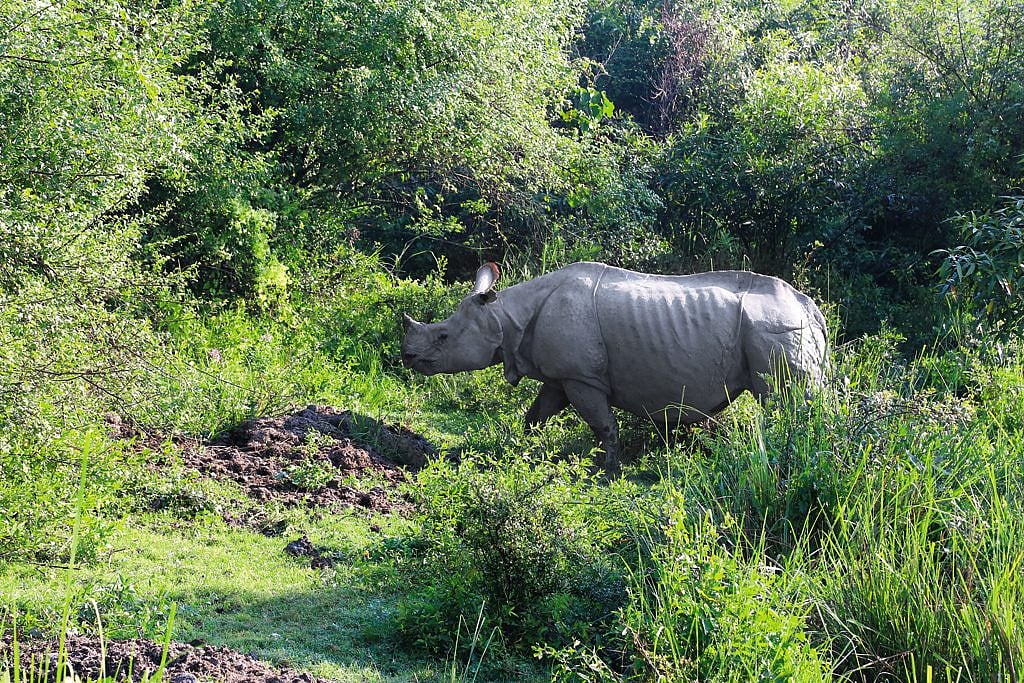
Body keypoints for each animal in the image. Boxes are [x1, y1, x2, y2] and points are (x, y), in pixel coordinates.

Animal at [401, 261, 827, 469]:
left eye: (443, 337)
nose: (407, 357)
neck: (504, 316)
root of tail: (812, 309)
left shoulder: (582, 378)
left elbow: (603, 424)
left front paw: (607, 470)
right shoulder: (561, 376)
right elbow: (536, 414)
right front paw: (521, 448)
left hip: (773, 329)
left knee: (786, 400)